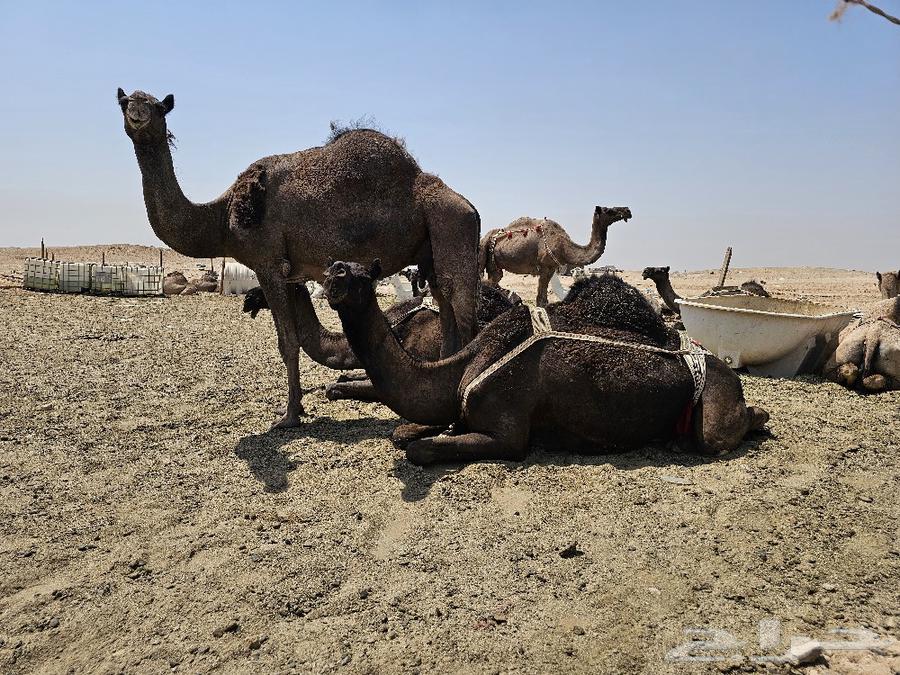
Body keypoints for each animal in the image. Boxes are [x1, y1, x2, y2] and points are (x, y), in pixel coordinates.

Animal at [117, 88, 480, 428]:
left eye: (158, 107)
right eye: (123, 102)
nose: (137, 115)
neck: (222, 217)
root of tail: (468, 205)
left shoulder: (268, 264)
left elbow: (287, 342)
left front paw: (289, 416)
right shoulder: (291, 274)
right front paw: (296, 408)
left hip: (454, 224)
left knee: (461, 308)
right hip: (429, 251)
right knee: (444, 305)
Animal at [479, 206, 632, 307]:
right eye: (609, 210)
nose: (627, 210)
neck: (565, 247)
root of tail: (485, 237)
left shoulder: (552, 268)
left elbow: (544, 299)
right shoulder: (545, 267)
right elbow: (540, 300)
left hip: (494, 263)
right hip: (487, 257)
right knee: (488, 281)